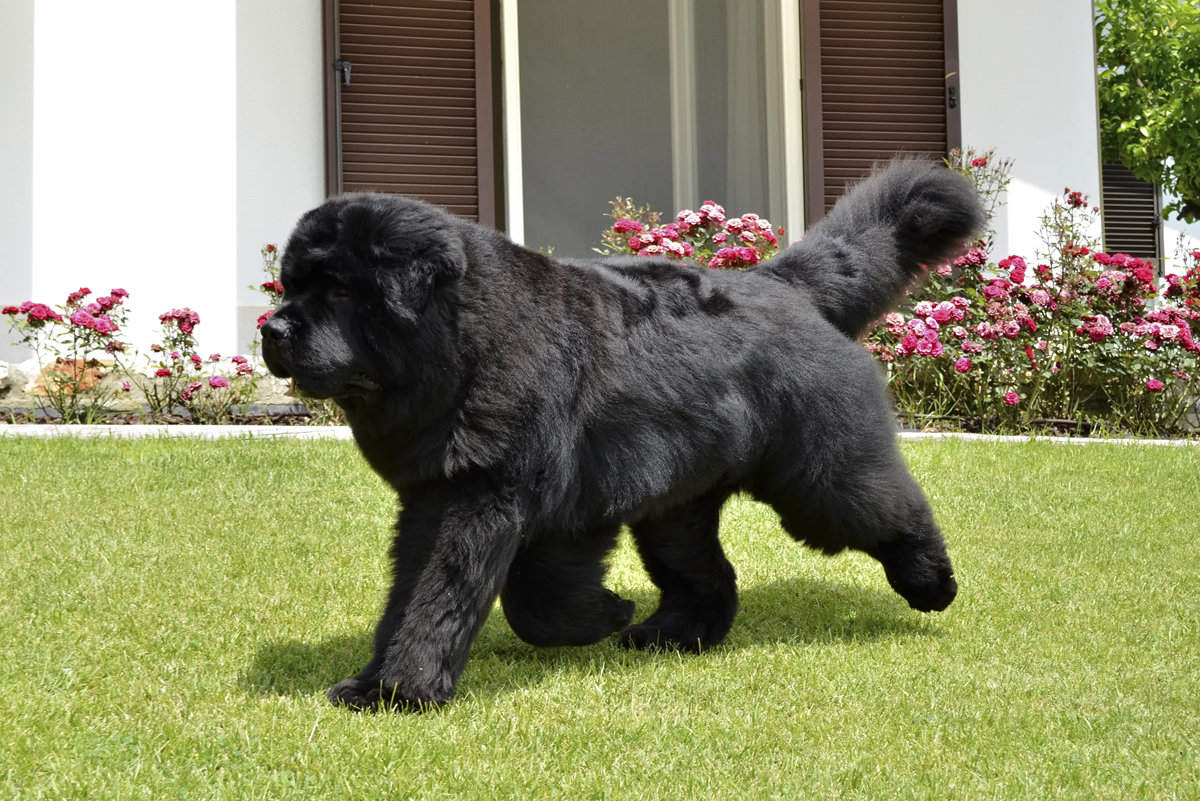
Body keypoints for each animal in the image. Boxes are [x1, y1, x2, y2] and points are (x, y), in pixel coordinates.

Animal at [262, 159, 984, 709]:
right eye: (291, 286)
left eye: (340, 290)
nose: (272, 328)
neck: (462, 348)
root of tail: (780, 282)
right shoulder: (451, 498)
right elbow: (452, 596)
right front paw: (605, 614)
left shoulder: (485, 494)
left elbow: (446, 595)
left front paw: (403, 692)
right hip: (676, 505)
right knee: (708, 571)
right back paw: (673, 632)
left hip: (818, 474)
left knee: (887, 507)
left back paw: (932, 584)